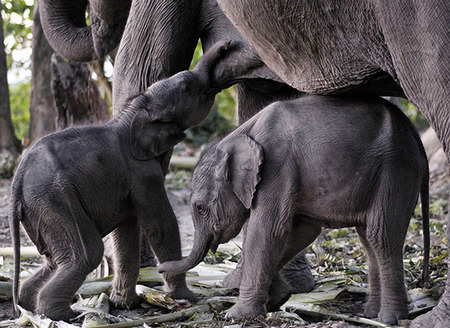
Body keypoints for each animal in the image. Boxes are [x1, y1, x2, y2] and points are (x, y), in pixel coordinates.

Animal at [9, 41, 232, 320]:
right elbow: (160, 226)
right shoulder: (143, 172)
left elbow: (126, 232)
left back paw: (30, 306)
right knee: (86, 253)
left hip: (41, 212)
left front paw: (127, 304)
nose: (227, 45)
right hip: (53, 200)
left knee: (54, 259)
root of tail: (16, 186)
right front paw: (187, 298)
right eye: (187, 87)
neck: (136, 110)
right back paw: (64, 314)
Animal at [216, 0, 448, 326]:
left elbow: (271, 228)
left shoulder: (277, 168)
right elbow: (297, 229)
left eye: (200, 208)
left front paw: (237, 314)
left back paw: (390, 318)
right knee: (370, 237)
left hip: (395, 171)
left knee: (380, 236)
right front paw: (277, 299)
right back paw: (372, 313)